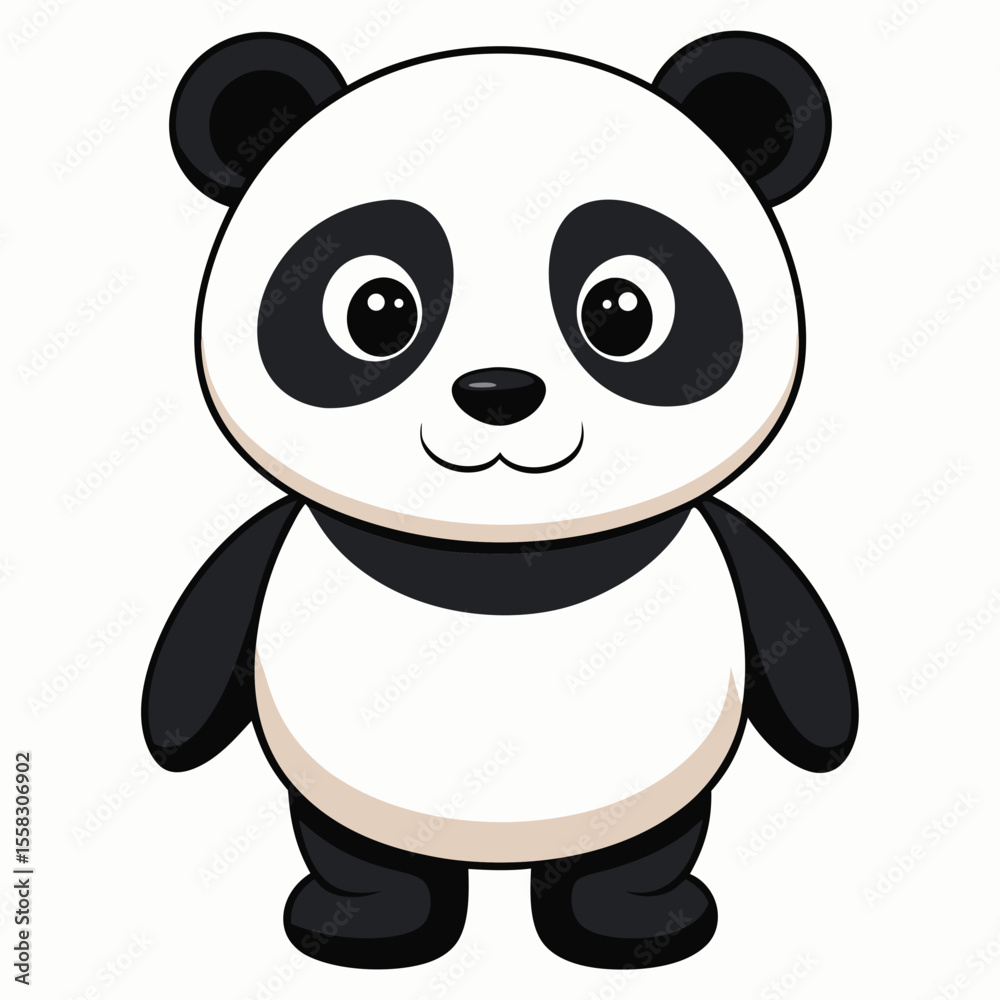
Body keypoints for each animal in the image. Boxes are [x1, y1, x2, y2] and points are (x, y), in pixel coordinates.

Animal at [143, 30, 859, 971]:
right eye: (378, 311)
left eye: (621, 310)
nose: (498, 392)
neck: (498, 552)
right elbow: (210, 620)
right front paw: (167, 737)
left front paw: (830, 737)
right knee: (355, 846)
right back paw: (371, 922)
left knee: (643, 847)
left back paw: (628, 923)